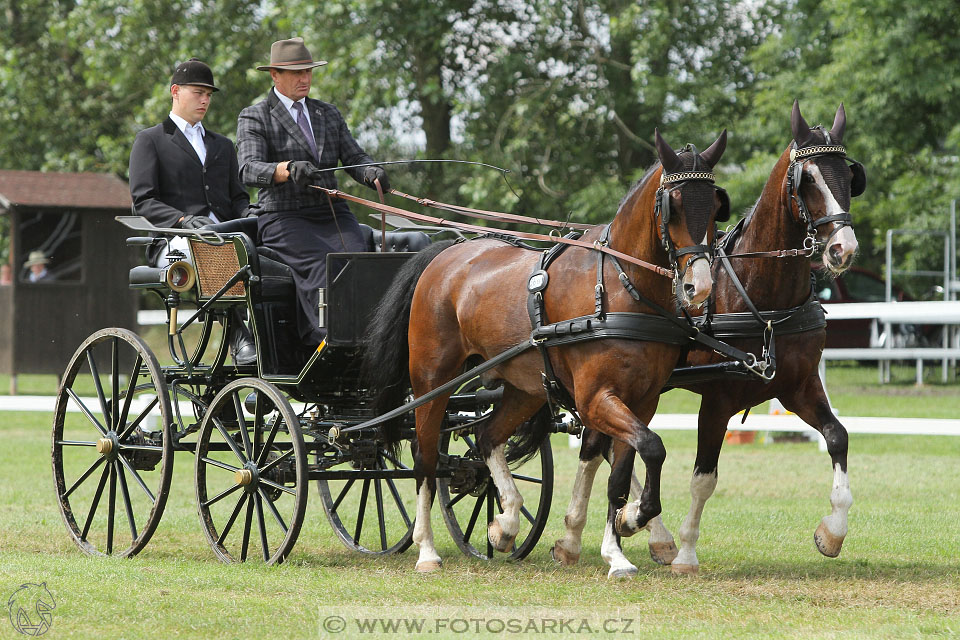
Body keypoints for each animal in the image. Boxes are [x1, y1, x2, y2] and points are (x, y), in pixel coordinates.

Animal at [364, 127, 732, 572]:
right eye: (672, 206)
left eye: (715, 207)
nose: (700, 287)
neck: (620, 287)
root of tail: (445, 254)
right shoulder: (595, 398)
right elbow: (651, 448)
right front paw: (631, 523)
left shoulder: (642, 401)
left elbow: (626, 468)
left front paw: (620, 543)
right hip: (432, 381)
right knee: (425, 457)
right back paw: (427, 550)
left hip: (524, 389)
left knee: (486, 436)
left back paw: (505, 524)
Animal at [556, 100, 864, 576]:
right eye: (808, 180)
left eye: (850, 178)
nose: (842, 250)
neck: (760, 294)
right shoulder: (718, 399)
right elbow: (704, 477)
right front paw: (685, 552)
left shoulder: (798, 385)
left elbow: (837, 437)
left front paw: (832, 531)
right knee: (601, 446)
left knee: (598, 446)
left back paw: (598, 535)